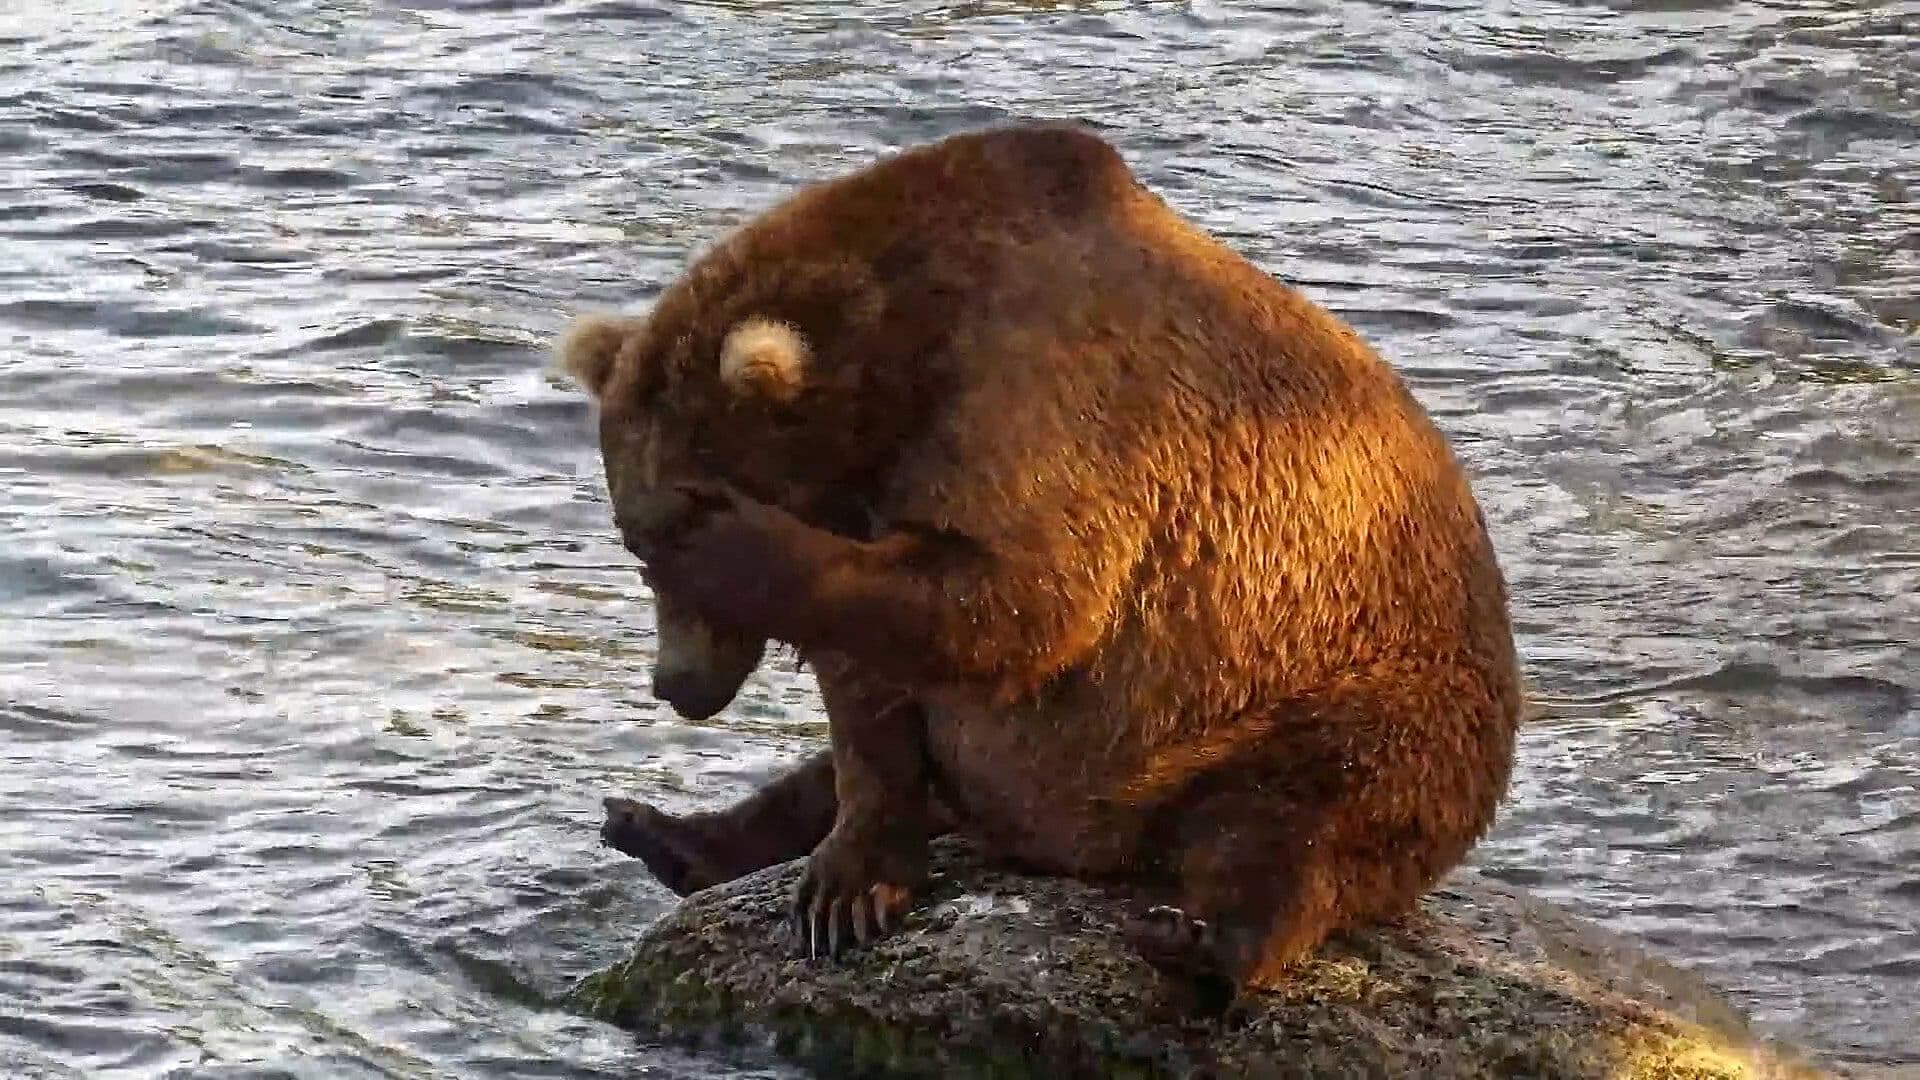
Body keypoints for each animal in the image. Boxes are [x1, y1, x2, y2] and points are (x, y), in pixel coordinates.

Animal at [559, 121, 1525, 992]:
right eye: (631, 550)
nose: (676, 684)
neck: (897, 367)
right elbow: (870, 705)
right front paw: (847, 888)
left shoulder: (1042, 407)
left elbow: (1022, 604)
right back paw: (663, 831)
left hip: (1327, 690)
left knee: (1297, 816)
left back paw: (1201, 938)